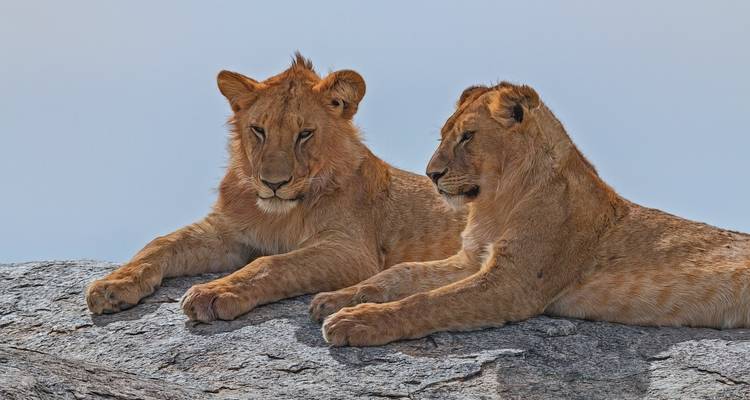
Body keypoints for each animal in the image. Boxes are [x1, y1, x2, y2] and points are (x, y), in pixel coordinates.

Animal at [85, 54, 465, 322]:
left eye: (305, 134)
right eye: (258, 130)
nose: (274, 184)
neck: (278, 214)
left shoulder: (352, 251)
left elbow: (272, 263)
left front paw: (213, 293)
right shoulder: (226, 233)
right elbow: (161, 243)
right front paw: (112, 285)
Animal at [319, 82, 750, 346]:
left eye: (468, 136)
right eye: (443, 135)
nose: (431, 174)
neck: (495, 203)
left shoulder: (513, 284)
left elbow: (428, 302)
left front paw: (355, 322)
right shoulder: (471, 259)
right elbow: (399, 273)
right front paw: (334, 298)